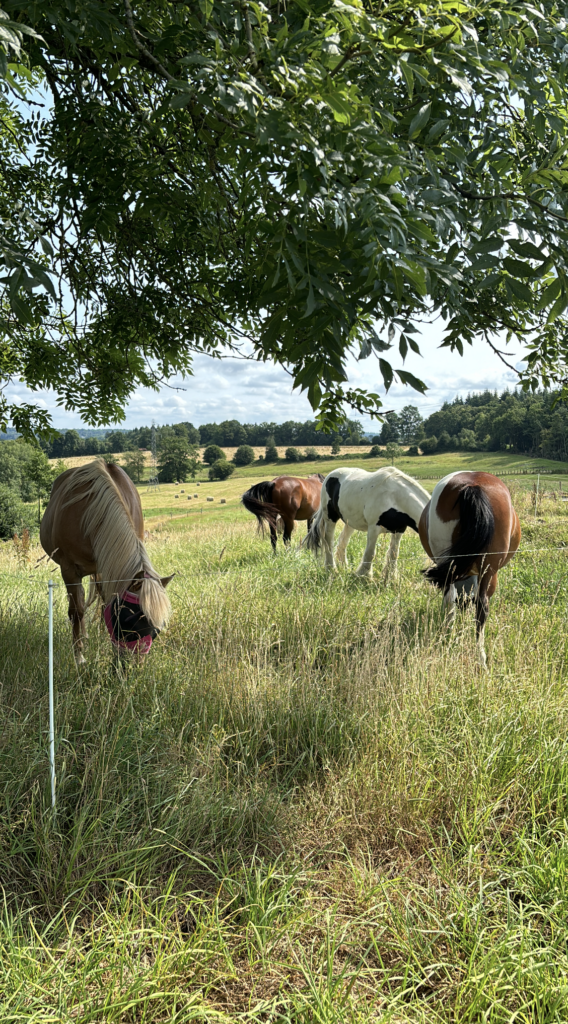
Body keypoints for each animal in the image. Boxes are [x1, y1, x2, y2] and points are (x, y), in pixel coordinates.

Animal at [40, 459, 173, 665]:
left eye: (156, 629)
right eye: (129, 620)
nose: (134, 664)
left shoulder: (108, 568)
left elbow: (105, 603)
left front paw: (104, 640)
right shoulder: (69, 570)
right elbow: (77, 611)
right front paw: (79, 656)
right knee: (79, 603)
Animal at [418, 471, 521, 668]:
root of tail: (472, 486)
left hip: (450, 566)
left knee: (451, 599)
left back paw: (448, 638)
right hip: (488, 570)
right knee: (482, 606)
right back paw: (481, 658)